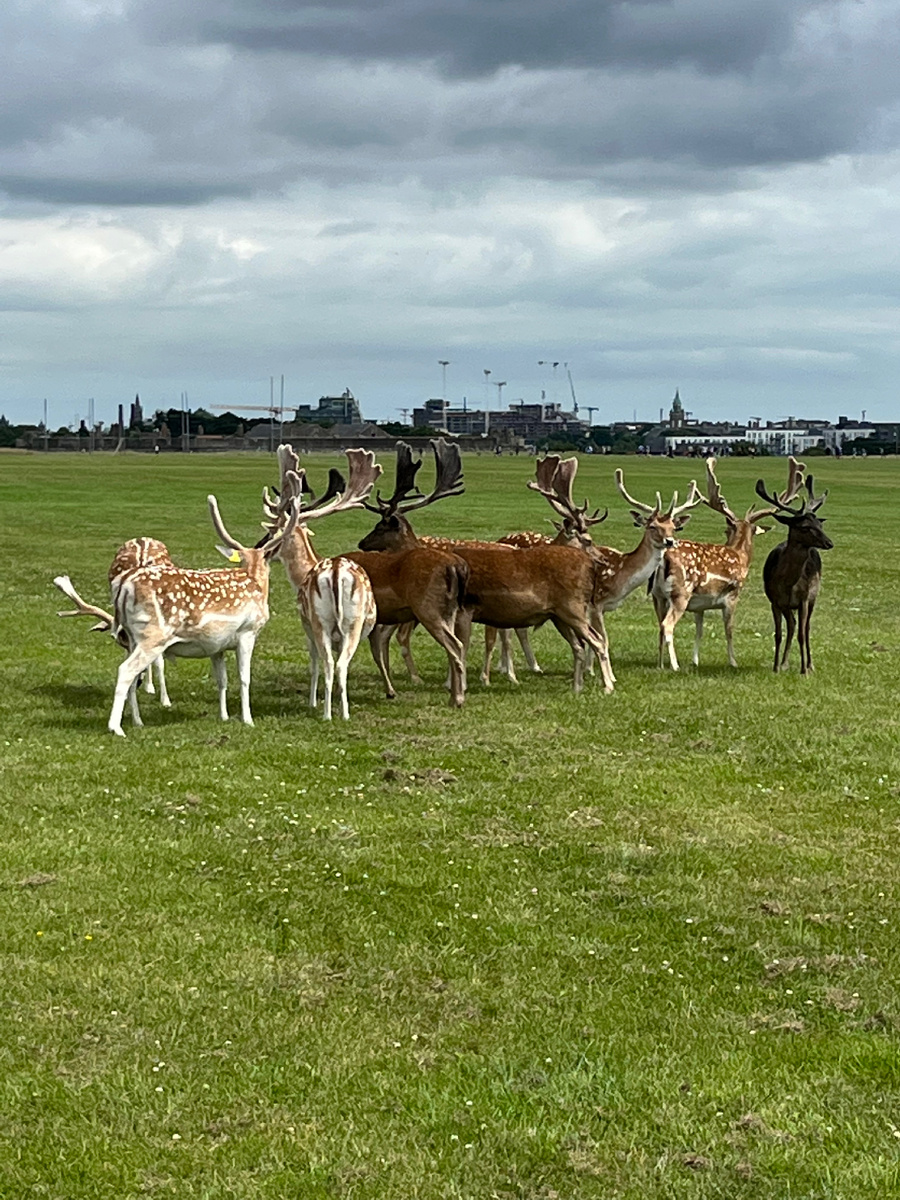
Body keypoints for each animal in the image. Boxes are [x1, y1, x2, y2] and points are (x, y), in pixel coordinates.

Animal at [652, 453, 806, 672]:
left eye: (726, 530)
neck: (740, 555)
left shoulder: (700, 605)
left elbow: (699, 630)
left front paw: (695, 660)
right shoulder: (732, 596)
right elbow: (729, 629)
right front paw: (733, 661)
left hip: (657, 596)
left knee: (659, 625)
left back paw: (660, 664)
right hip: (680, 593)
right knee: (667, 625)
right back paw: (674, 665)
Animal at [758, 465, 835, 676]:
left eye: (820, 524)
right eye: (804, 526)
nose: (829, 543)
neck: (788, 582)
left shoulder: (804, 599)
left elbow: (802, 633)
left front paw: (804, 670)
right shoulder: (775, 601)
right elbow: (778, 634)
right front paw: (776, 667)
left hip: (813, 597)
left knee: (805, 629)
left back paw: (810, 664)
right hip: (787, 606)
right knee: (792, 625)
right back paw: (784, 663)